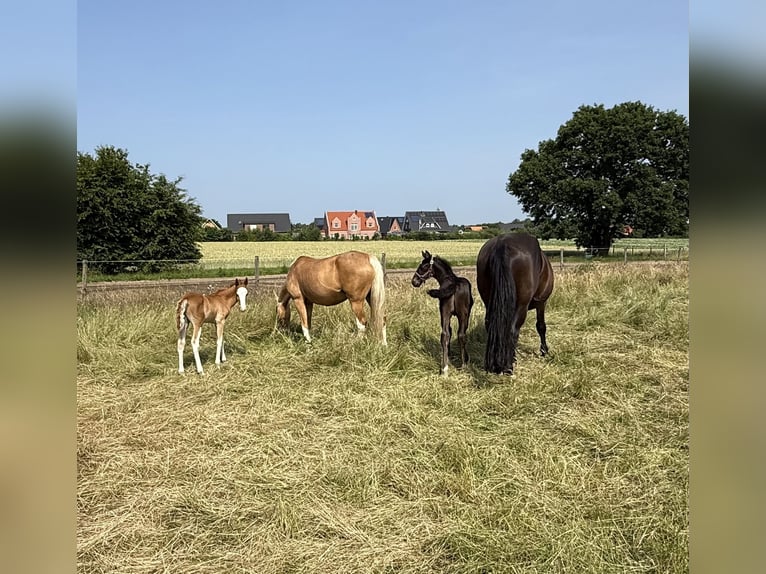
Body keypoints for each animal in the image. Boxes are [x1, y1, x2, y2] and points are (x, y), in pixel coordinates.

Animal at [476, 233, 554, 375]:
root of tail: (502, 244)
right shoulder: (541, 302)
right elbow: (541, 326)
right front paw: (544, 351)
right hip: (522, 306)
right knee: (513, 330)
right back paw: (508, 366)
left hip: (489, 302)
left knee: (491, 326)